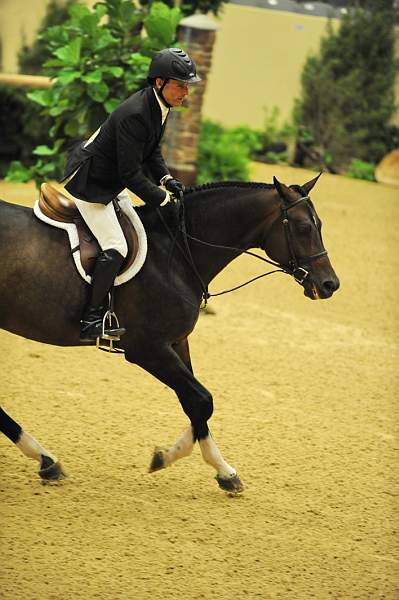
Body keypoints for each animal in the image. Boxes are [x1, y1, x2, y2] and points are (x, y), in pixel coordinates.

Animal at [0, 175, 340, 492]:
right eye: (302, 227)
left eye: (319, 225)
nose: (330, 285)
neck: (177, 253)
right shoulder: (148, 349)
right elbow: (202, 400)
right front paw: (186, 460)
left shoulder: (176, 342)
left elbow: (195, 402)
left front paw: (212, 468)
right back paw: (45, 459)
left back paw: (45, 459)